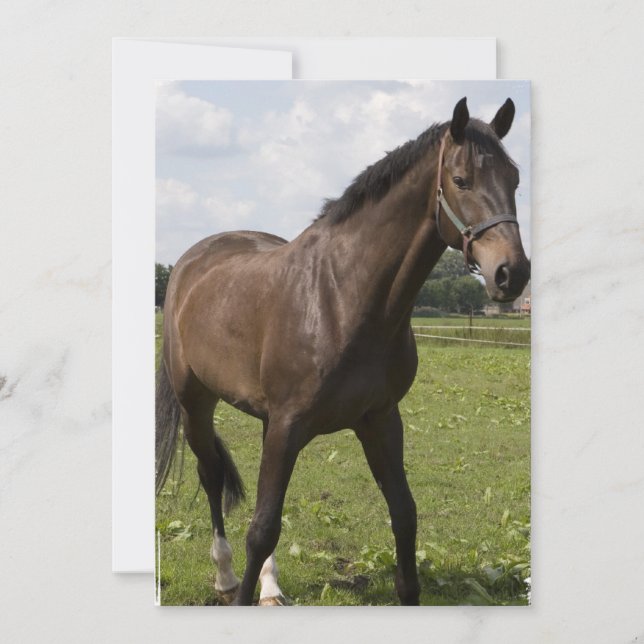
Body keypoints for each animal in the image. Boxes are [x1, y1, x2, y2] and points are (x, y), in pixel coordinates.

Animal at [155, 97, 530, 606]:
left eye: (515, 178)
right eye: (461, 180)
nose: (512, 273)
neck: (341, 296)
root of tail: (191, 263)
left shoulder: (380, 420)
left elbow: (404, 514)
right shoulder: (289, 424)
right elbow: (262, 527)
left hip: (265, 420)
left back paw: (270, 586)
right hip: (197, 404)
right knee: (211, 478)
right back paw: (227, 576)